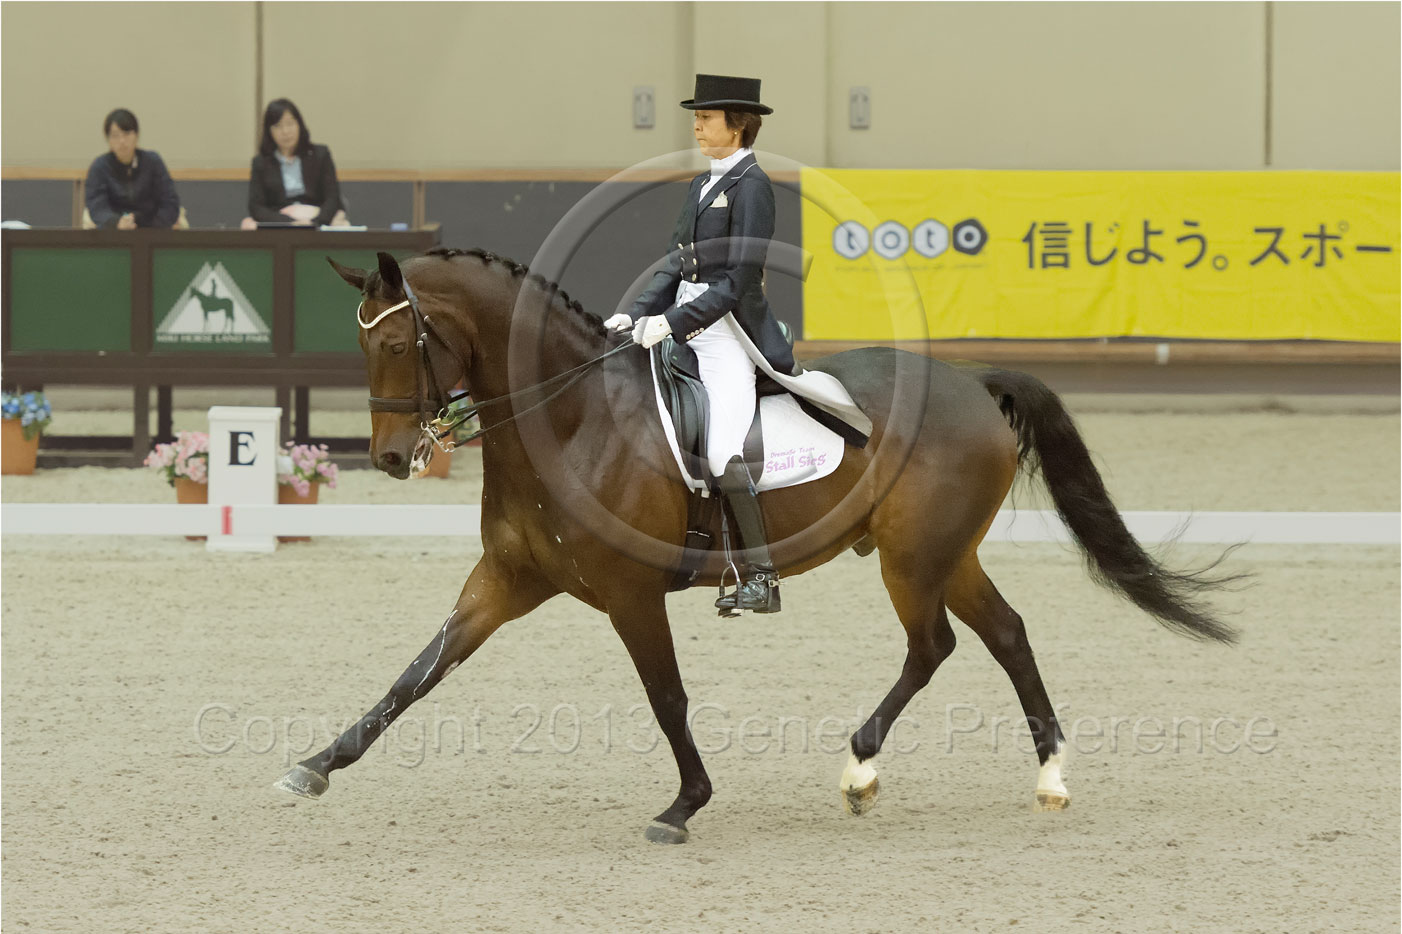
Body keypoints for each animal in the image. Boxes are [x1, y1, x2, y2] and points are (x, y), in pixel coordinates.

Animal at [276, 246, 1239, 841]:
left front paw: (684, 806)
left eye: (400, 343)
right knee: (1004, 634)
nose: (392, 458)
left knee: (934, 644)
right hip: (945, 554)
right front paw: (317, 765)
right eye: (363, 348)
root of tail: (972, 383)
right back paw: (1047, 778)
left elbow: (667, 698)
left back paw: (860, 768)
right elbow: (417, 673)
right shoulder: (507, 579)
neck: (569, 415)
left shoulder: (629, 593)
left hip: (913, 559)